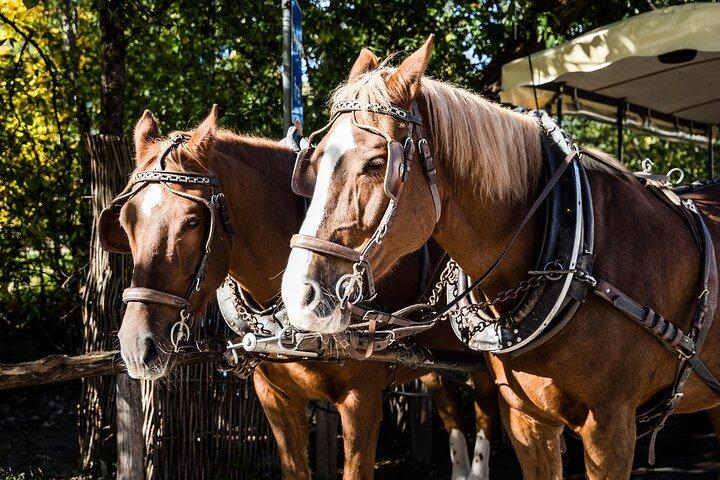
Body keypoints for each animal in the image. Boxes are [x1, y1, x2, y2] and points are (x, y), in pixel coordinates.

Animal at [100, 107, 498, 480]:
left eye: (193, 221)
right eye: (126, 221)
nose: (136, 345)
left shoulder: (362, 400)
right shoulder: (275, 398)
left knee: (487, 407)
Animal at [280, 35, 720, 479]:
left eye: (376, 162)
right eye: (314, 160)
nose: (301, 295)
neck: (575, 256)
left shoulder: (611, 427)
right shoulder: (528, 421)